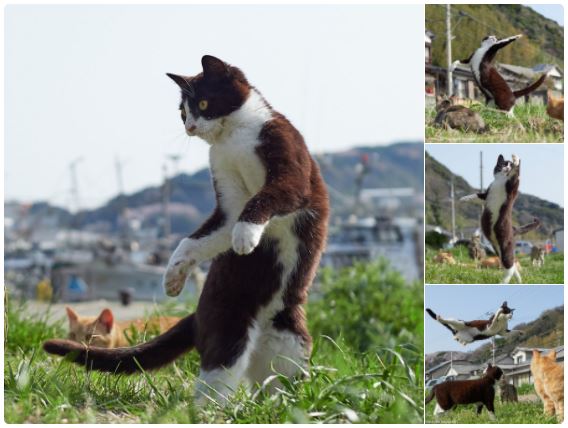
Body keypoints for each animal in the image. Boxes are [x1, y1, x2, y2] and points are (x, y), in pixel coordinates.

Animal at [44, 55, 330, 406]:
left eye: (203, 103)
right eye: (183, 113)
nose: (189, 127)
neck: (232, 139)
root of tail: (196, 316)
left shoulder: (290, 170)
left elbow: (265, 197)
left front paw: (245, 235)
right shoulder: (228, 202)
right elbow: (195, 238)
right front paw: (173, 275)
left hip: (290, 338)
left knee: (277, 377)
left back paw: (282, 405)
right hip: (228, 322)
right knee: (220, 371)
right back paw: (213, 410)